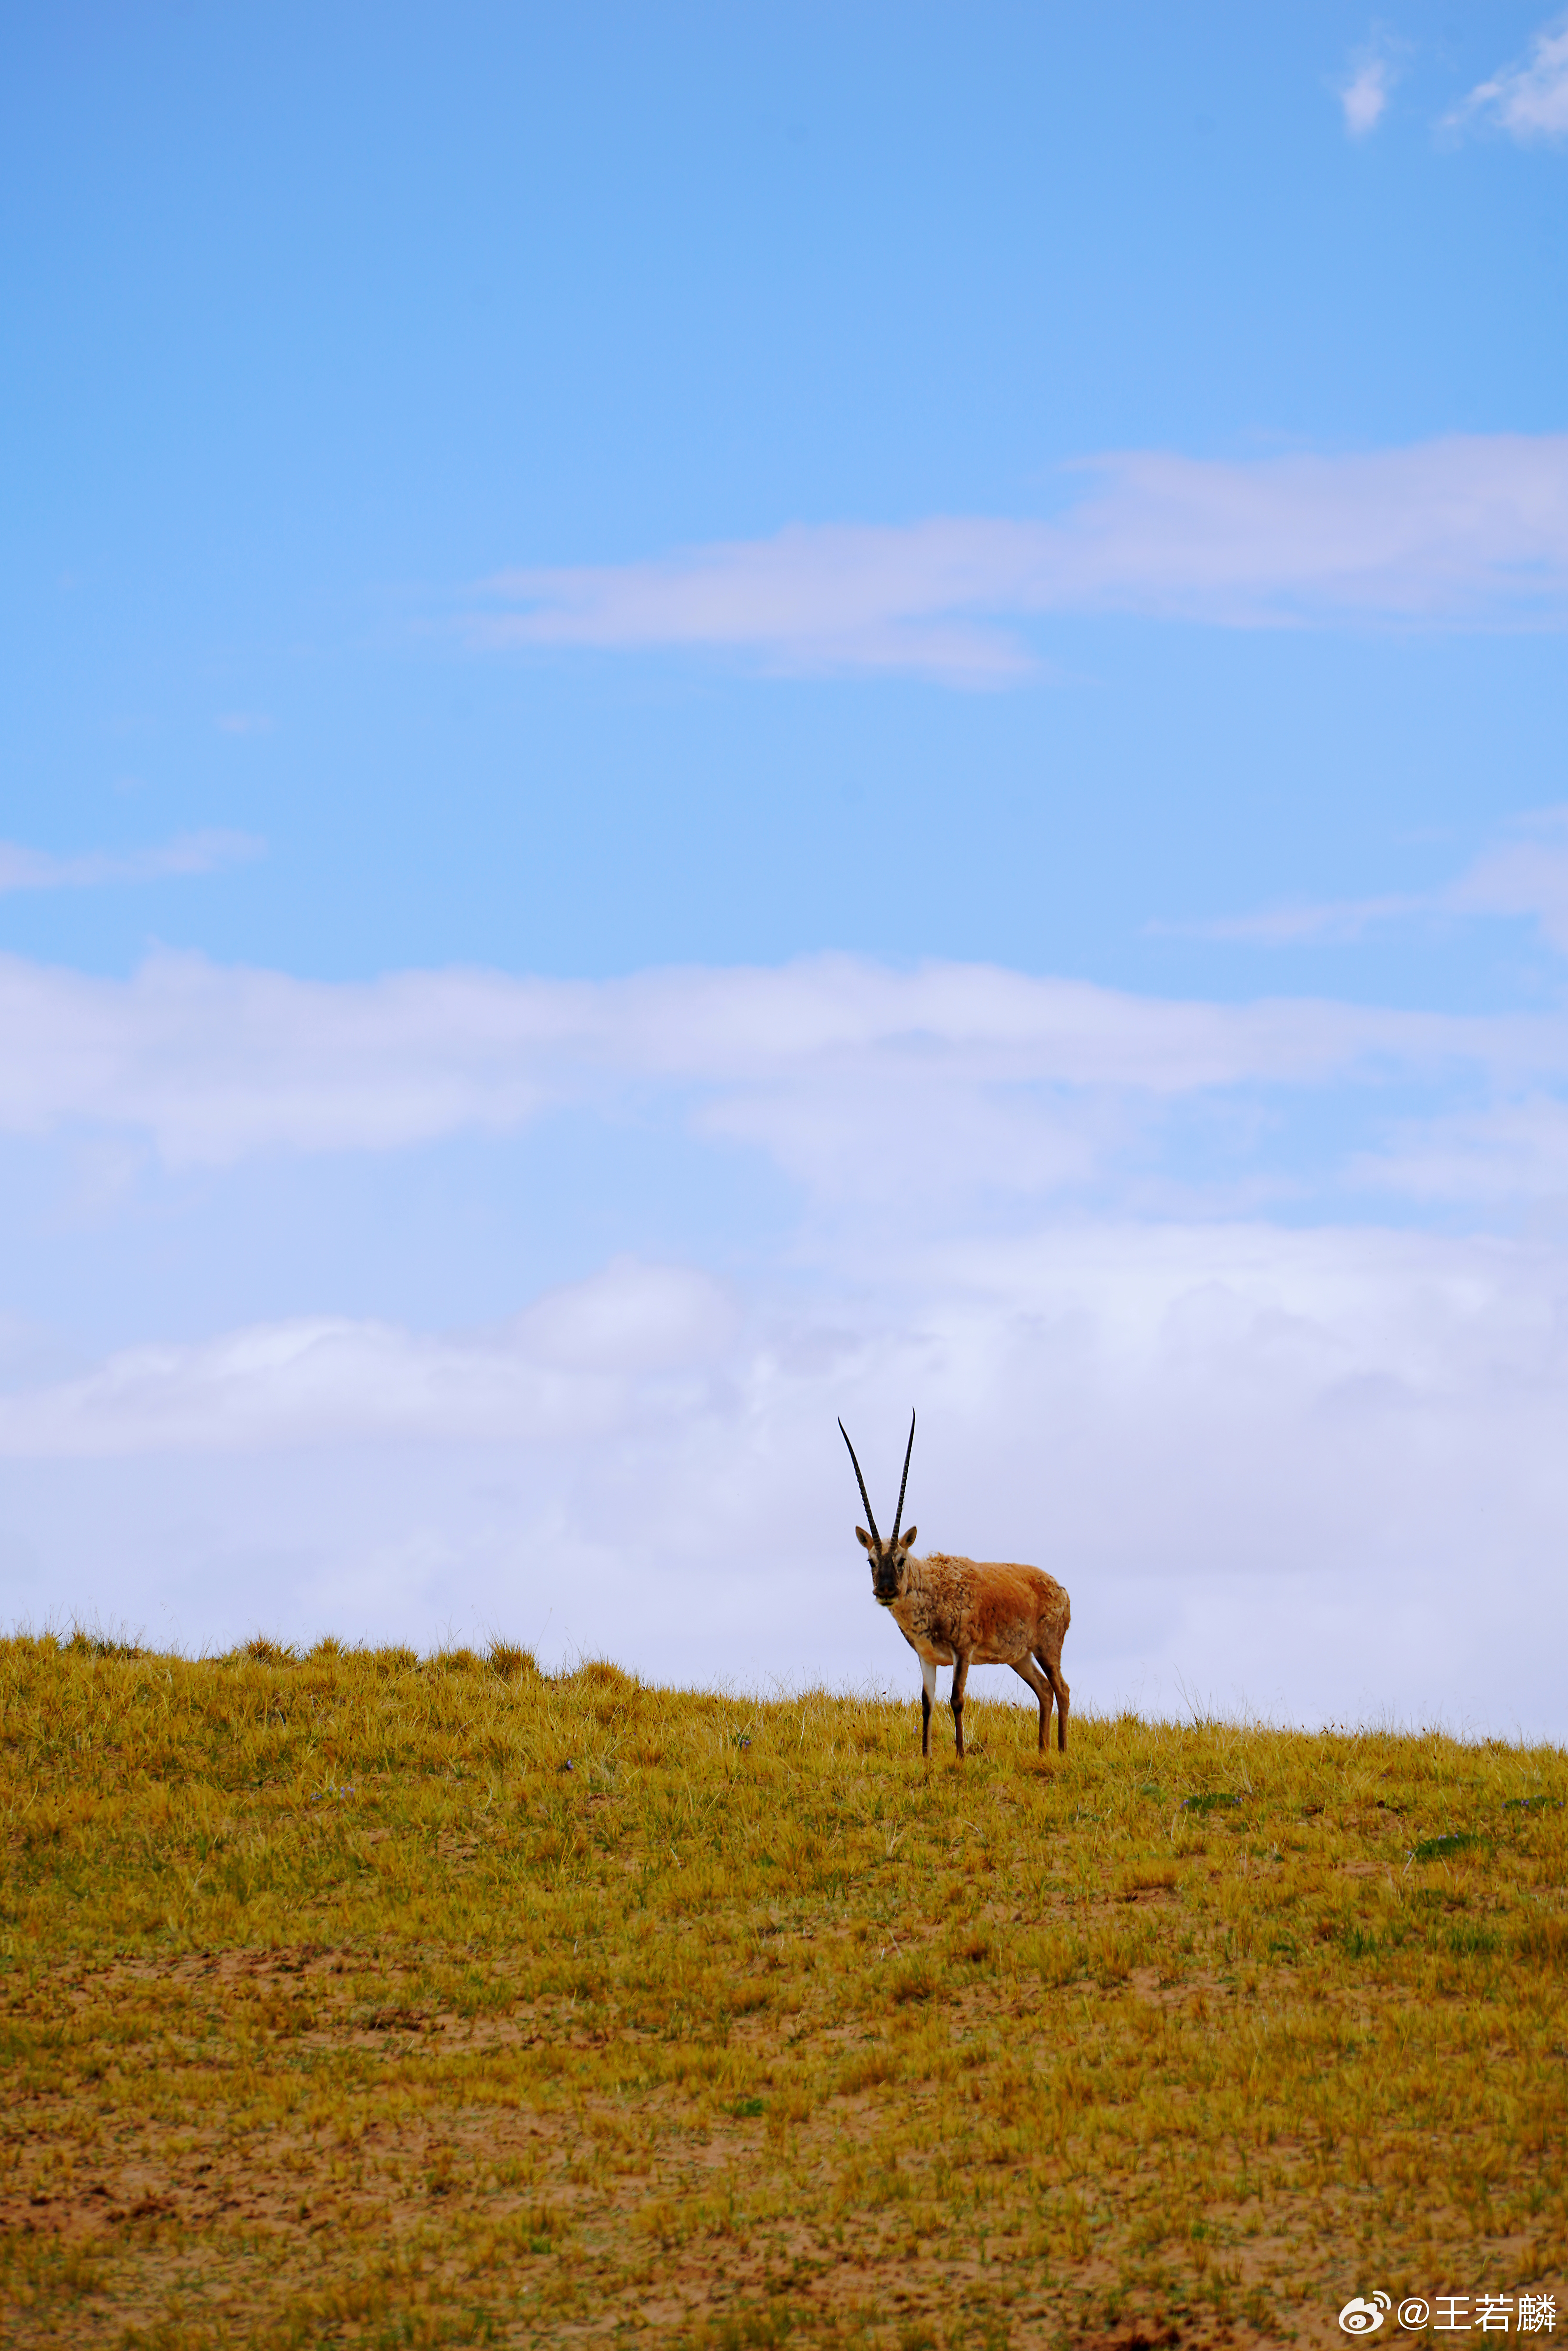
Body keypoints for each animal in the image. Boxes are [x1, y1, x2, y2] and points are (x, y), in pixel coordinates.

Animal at [841, 1411, 1072, 1768]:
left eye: (901, 1560)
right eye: (871, 1561)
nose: (886, 1591)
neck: (932, 1588)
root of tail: (1060, 1590)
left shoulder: (962, 1652)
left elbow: (956, 1699)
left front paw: (961, 1755)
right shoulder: (927, 1658)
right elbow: (927, 1702)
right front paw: (926, 1756)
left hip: (1048, 1648)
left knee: (1062, 1689)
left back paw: (1060, 1750)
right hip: (1020, 1657)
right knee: (1045, 1691)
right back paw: (1043, 1750)